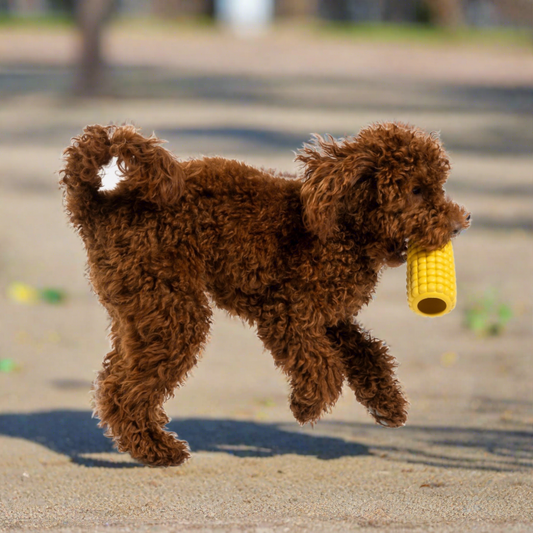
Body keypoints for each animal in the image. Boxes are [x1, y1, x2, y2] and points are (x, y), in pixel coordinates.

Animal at [60, 121, 470, 466]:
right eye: (416, 190)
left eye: (438, 185)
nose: (461, 222)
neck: (343, 228)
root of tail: (100, 206)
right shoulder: (286, 313)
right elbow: (323, 364)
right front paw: (307, 405)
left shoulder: (329, 317)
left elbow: (367, 353)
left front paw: (387, 403)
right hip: (170, 309)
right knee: (124, 390)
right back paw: (158, 450)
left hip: (139, 311)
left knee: (112, 381)